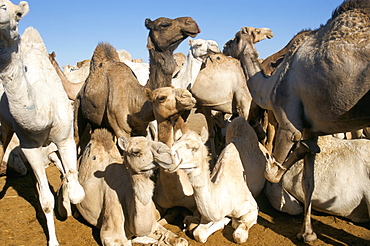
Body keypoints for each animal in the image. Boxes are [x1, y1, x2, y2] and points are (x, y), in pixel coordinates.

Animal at [0, 0, 84, 245]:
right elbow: (45, 200)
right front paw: (53, 240)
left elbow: (76, 191)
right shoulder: (30, 147)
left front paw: (66, 201)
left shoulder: (65, 138)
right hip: (5, 128)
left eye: (18, 13)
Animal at [223, 0, 370, 242]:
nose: (224, 47)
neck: (271, 83)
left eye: (236, 37)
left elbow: (272, 173)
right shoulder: (311, 131)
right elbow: (308, 183)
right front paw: (307, 234)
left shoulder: (289, 124)